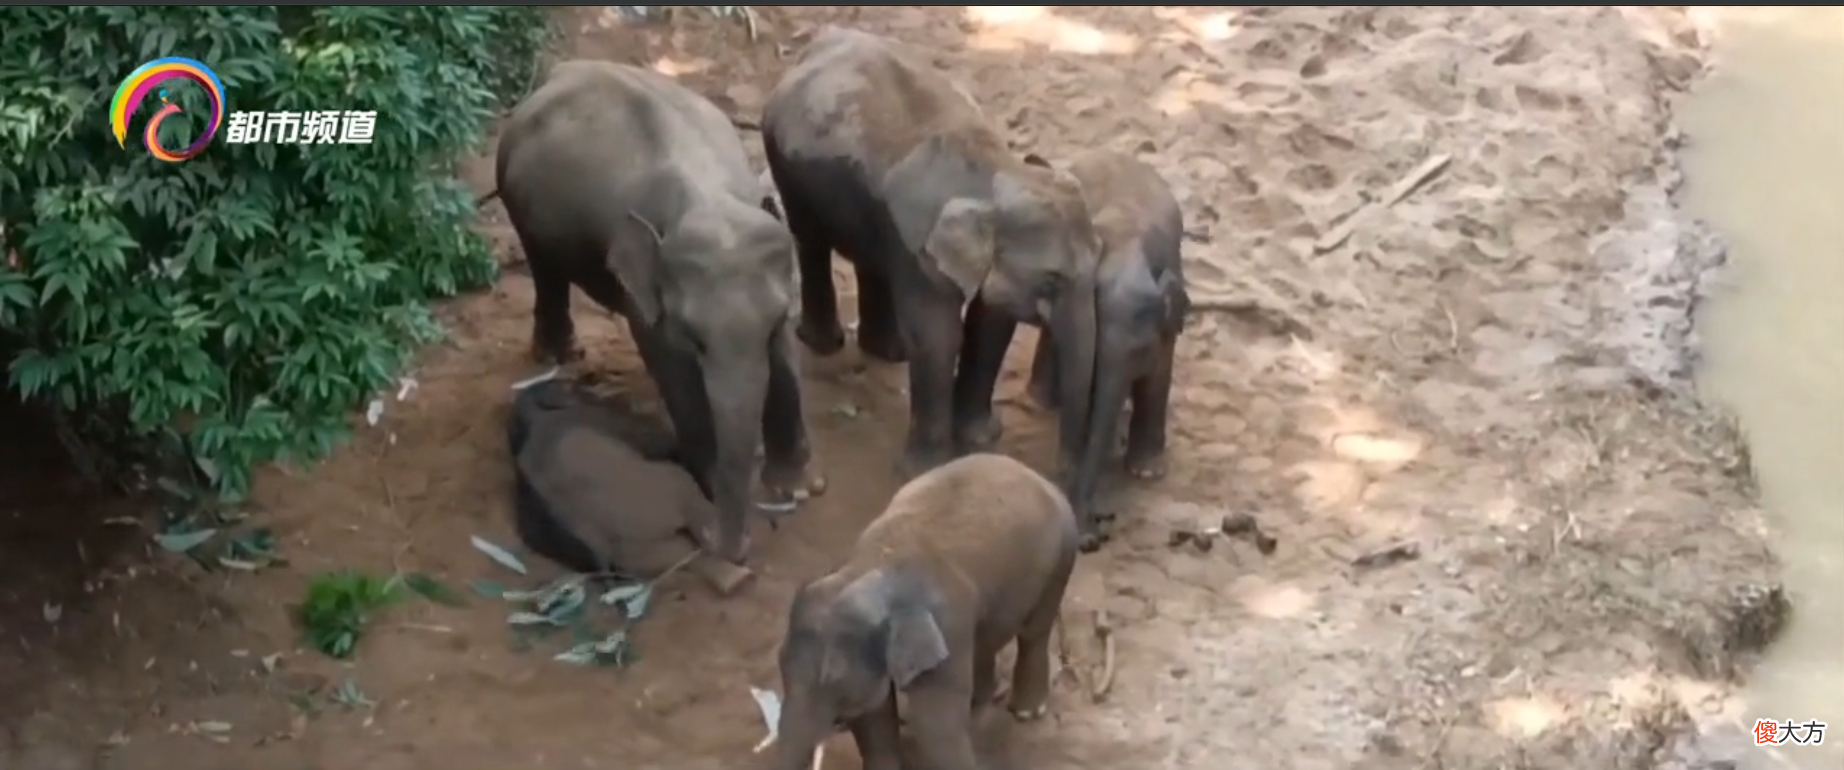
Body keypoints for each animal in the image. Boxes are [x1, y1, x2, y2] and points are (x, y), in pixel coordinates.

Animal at [494, 60, 821, 564]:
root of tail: (560, 72)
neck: (707, 202)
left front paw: (797, 487)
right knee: (543, 267)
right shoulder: (643, 300)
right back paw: (557, 356)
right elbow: (676, 375)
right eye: (694, 337)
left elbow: (784, 361)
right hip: (517, 202)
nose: (737, 549)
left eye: (773, 321)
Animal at [759, 28, 1103, 495]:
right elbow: (937, 336)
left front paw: (980, 439)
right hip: (785, 161)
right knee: (810, 238)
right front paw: (924, 470)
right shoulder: (920, 246)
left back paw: (889, 352)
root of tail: (817, 44)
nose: (1062, 479)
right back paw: (826, 344)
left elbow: (992, 324)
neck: (993, 170)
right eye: (1051, 281)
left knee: (871, 256)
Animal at [768, 453, 1079, 770]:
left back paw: (1026, 712)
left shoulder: (947, 627)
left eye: (832, 679)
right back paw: (979, 704)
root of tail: (1032, 473)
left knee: (1034, 632)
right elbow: (874, 715)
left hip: (1062, 554)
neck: (870, 567)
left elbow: (936, 728)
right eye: (779, 662)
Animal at [967, 150, 1191, 547]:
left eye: (1140, 352)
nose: (1089, 535)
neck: (1128, 246)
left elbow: (1158, 374)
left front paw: (1146, 472)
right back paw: (1043, 400)